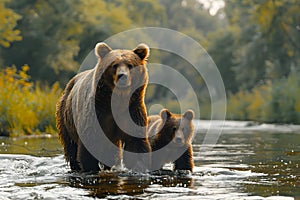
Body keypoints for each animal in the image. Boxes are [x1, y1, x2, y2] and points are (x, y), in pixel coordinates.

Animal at [55, 42, 151, 172]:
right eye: (114, 65)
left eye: (130, 65)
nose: (122, 76)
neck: (118, 100)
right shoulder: (98, 112)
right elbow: (90, 142)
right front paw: (91, 167)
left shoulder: (132, 109)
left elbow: (136, 142)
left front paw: (139, 167)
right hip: (66, 116)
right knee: (71, 146)